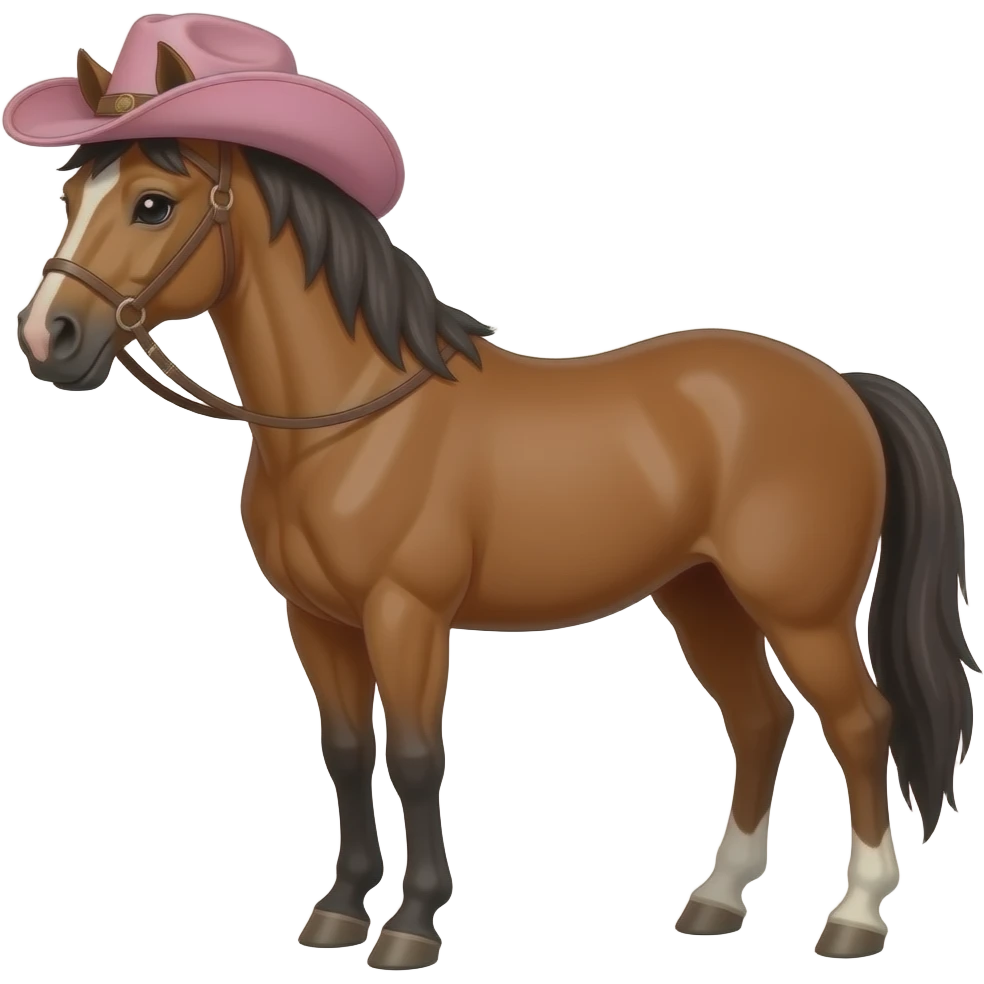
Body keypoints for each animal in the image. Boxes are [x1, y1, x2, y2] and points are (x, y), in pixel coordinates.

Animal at [14, 136, 976, 967]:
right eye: (71, 197)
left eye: (152, 203)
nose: (48, 337)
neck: (355, 418)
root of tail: (841, 386)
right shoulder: (316, 620)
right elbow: (346, 753)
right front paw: (339, 910)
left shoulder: (406, 615)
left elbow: (414, 757)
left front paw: (411, 925)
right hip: (703, 598)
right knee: (760, 720)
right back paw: (716, 900)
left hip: (801, 612)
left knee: (861, 724)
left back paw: (855, 917)